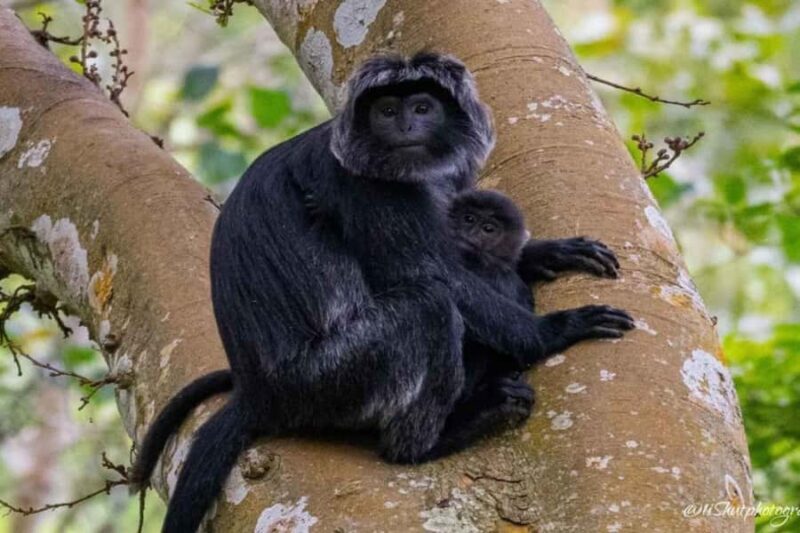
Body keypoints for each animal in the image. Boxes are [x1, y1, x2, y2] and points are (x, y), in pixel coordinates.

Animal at [132, 53, 634, 532]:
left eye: (422, 108)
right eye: (387, 111)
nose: (405, 127)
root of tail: (259, 392)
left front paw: (546, 252)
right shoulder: (361, 183)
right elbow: (430, 274)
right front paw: (555, 328)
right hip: (328, 379)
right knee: (429, 307)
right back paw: (434, 439)